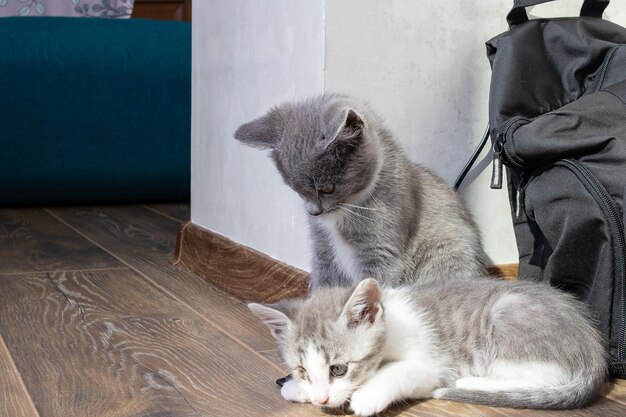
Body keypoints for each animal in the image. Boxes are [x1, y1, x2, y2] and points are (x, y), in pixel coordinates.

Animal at [234, 94, 488, 290]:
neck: (346, 209)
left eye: (327, 188)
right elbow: (323, 287)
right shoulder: (324, 250)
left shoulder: (380, 252)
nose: (314, 212)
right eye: (296, 190)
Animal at [249, 274, 604, 414]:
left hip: (507, 316)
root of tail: (594, 348)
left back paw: (473, 381)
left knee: (543, 376)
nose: (321, 399)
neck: (390, 326)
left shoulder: (433, 365)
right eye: (303, 370)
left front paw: (367, 396)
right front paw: (296, 388)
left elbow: (399, 372)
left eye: (339, 369)